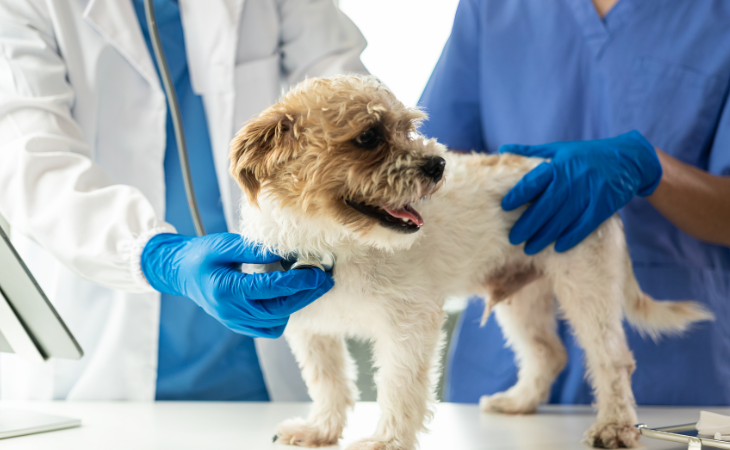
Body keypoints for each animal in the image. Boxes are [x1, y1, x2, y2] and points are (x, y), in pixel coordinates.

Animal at [229, 75, 712, 448]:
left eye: (409, 128)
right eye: (368, 137)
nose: (438, 164)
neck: (335, 242)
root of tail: (609, 198)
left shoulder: (410, 324)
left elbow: (399, 387)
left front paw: (387, 441)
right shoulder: (311, 327)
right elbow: (329, 384)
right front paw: (320, 431)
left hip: (587, 288)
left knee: (612, 359)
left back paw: (614, 427)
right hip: (522, 301)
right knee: (549, 353)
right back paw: (517, 403)